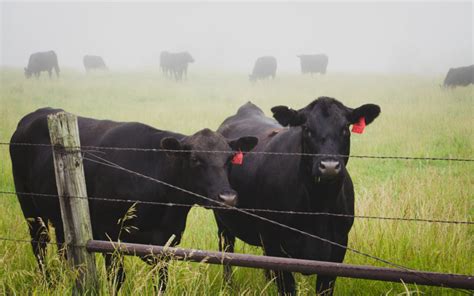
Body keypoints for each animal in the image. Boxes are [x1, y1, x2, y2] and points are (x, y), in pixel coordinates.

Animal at [9, 107, 258, 292]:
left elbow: (162, 282)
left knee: (63, 247)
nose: (227, 197)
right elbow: (117, 279)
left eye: (229, 159)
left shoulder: (165, 243)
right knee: (39, 244)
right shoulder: (109, 237)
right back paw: (49, 283)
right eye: (195, 159)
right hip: (29, 206)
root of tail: (34, 116)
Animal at [215, 97, 382, 296]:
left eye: (344, 128)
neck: (318, 207)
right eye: (307, 129)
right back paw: (227, 287)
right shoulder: (274, 244)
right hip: (223, 222)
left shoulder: (338, 246)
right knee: (227, 252)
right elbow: (286, 287)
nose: (329, 166)